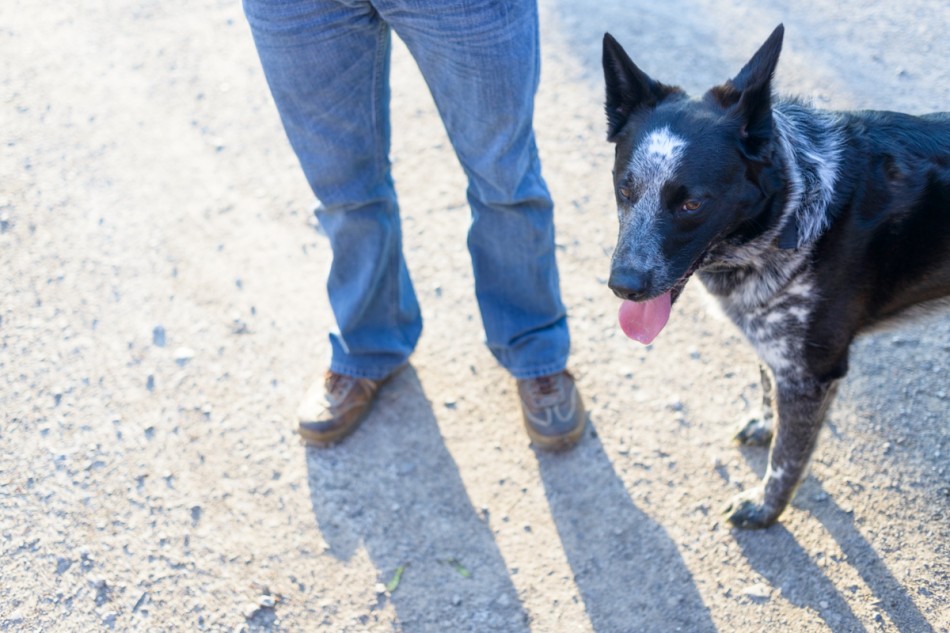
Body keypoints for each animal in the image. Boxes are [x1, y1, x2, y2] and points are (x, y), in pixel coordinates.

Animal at [604, 24, 950, 524]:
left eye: (692, 203)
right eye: (625, 188)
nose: (622, 287)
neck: (795, 209)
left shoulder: (812, 375)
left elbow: (787, 458)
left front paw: (766, 508)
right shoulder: (775, 348)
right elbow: (768, 389)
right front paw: (766, 426)